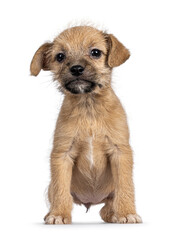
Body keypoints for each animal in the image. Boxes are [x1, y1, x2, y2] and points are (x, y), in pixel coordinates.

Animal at [29, 25, 142, 224]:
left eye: (95, 52)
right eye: (60, 56)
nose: (76, 68)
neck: (88, 107)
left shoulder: (120, 152)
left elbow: (125, 187)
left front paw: (127, 212)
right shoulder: (62, 155)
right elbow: (61, 190)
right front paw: (59, 214)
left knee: (107, 208)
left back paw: (114, 214)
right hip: (51, 187)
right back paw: (51, 212)